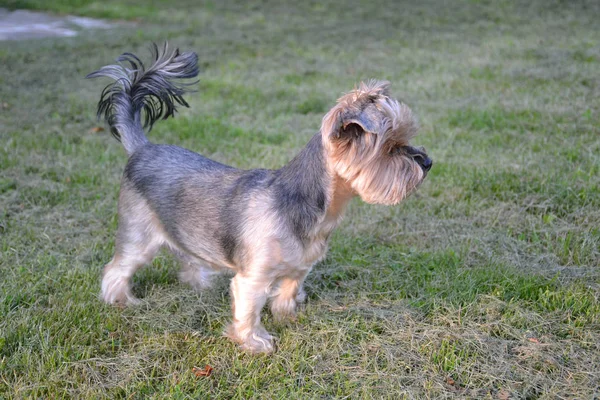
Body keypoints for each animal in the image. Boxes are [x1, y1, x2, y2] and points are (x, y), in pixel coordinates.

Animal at [88, 43, 432, 354]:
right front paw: (255, 341)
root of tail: (142, 148)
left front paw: (287, 316)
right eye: (391, 147)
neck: (312, 207)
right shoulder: (253, 277)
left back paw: (198, 282)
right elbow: (249, 310)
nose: (428, 162)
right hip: (139, 233)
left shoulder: (300, 266)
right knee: (117, 268)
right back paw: (120, 300)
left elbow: (288, 290)